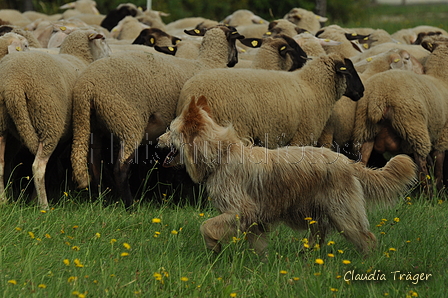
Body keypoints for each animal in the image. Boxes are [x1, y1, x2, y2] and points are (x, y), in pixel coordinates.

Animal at [0, 28, 110, 210]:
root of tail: (12, 85)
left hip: (3, 125)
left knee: (1, 162)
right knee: (38, 166)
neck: (80, 58)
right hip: (49, 122)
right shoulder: (66, 135)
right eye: (103, 39)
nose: (110, 56)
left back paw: (3, 200)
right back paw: (44, 206)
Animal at [70, 24, 245, 207]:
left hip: (93, 126)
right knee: (121, 168)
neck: (207, 63)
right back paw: (130, 205)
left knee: (94, 164)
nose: (235, 61)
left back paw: (99, 199)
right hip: (127, 121)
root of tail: (86, 87)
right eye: (235, 41)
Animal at [159, 96, 418, 256]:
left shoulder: (240, 211)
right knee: (320, 240)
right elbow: (258, 246)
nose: (156, 139)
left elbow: (206, 226)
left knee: (367, 239)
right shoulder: (254, 220)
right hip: (319, 216)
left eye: (169, 130)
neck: (220, 155)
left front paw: (213, 248)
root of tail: (347, 162)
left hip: (344, 215)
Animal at [356, 36, 448, 192]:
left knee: (361, 162)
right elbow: (439, 164)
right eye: (407, 58)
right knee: (421, 168)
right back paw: (428, 194)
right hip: (414, 129)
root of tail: (379, 97)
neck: (440, 78)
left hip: (365, 131)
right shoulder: (442, 136)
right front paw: (440, 190)